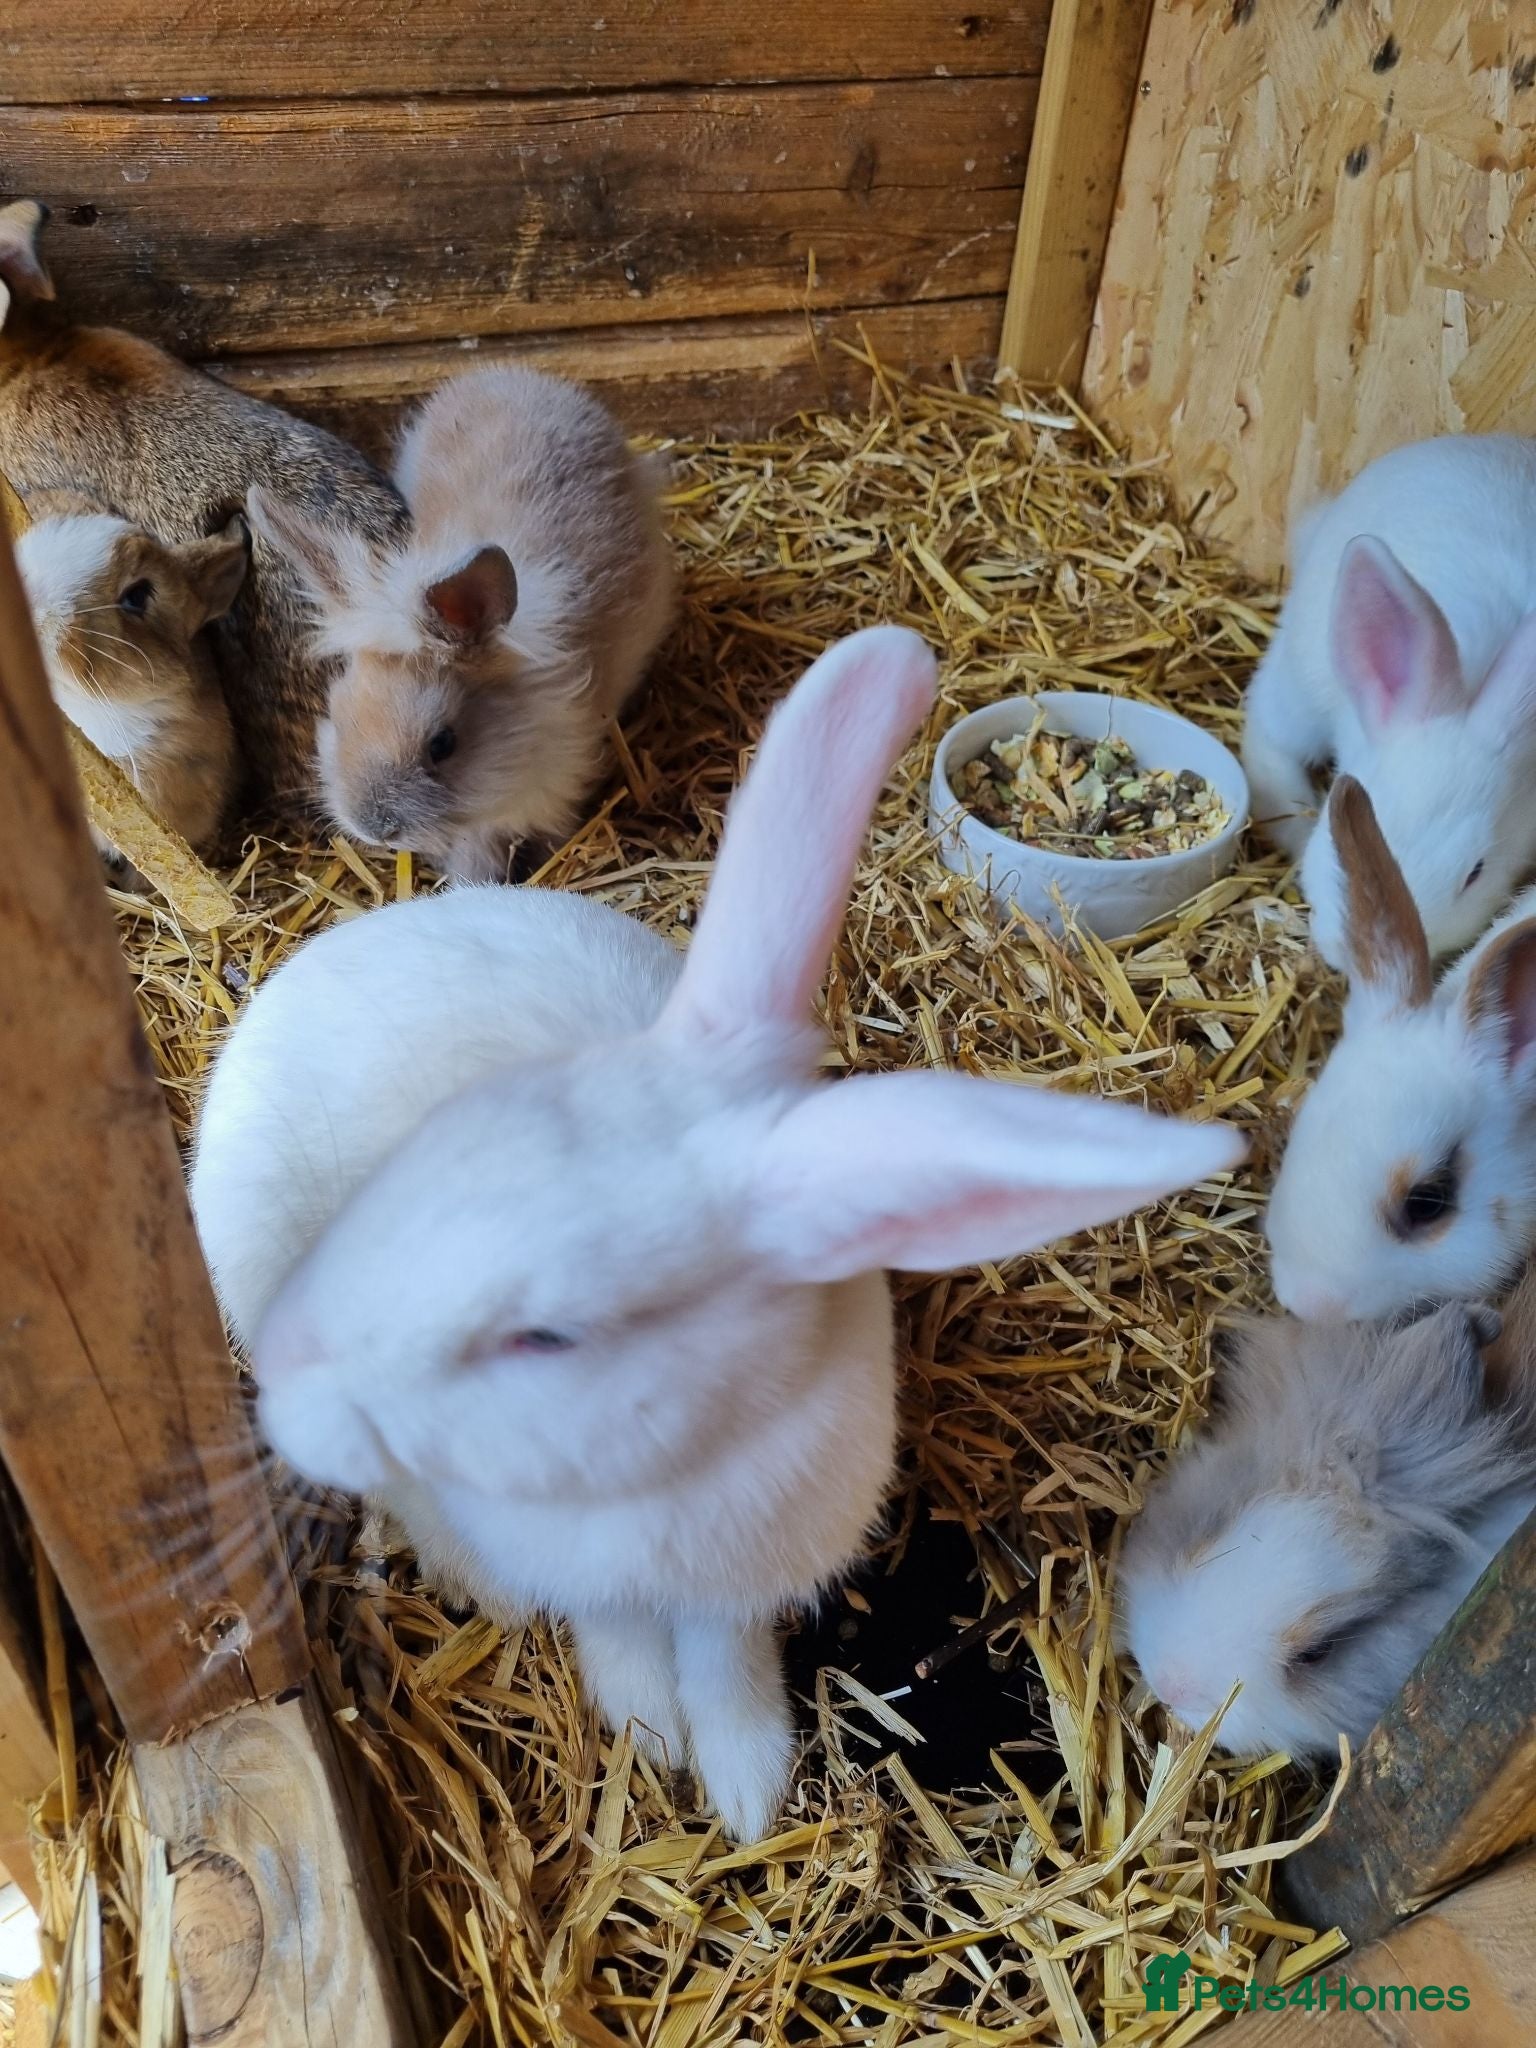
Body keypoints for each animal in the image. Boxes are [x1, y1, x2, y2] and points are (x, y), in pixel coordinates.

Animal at [188, 624, 1245, 1841]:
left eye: (548, 1335)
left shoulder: (741, 1588)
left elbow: (727, 1660)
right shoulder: (594, 1581)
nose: (294, 1367)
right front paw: (651, 1738)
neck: (670, 1475)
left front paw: (745, 1787)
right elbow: (621, 1640)